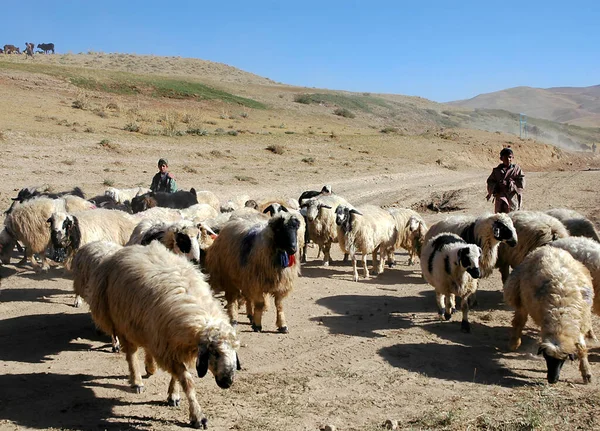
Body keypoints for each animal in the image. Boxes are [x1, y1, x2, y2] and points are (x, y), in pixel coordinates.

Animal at [82, 243, 241, 428]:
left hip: (146, 325)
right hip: (125, 321)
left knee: (147, 346)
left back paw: (150, 367)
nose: (228, 381)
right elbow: (187, 381)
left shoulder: (171, 345)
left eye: (234, 351)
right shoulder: (168, 347)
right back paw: (137, 381)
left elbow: (177, 377)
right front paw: (197, 415)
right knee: (132, 353)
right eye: (214, 352)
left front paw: (174, 395)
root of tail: (128, 249)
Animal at [504, 246, 592, 384]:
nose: (552, 380)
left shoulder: (581, 323)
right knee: (519, 320)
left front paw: (586, 372)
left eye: (563, 360)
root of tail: (548, 247)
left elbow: (582, 348)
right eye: (546, 357)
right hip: (520, 295)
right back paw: (514, 342)